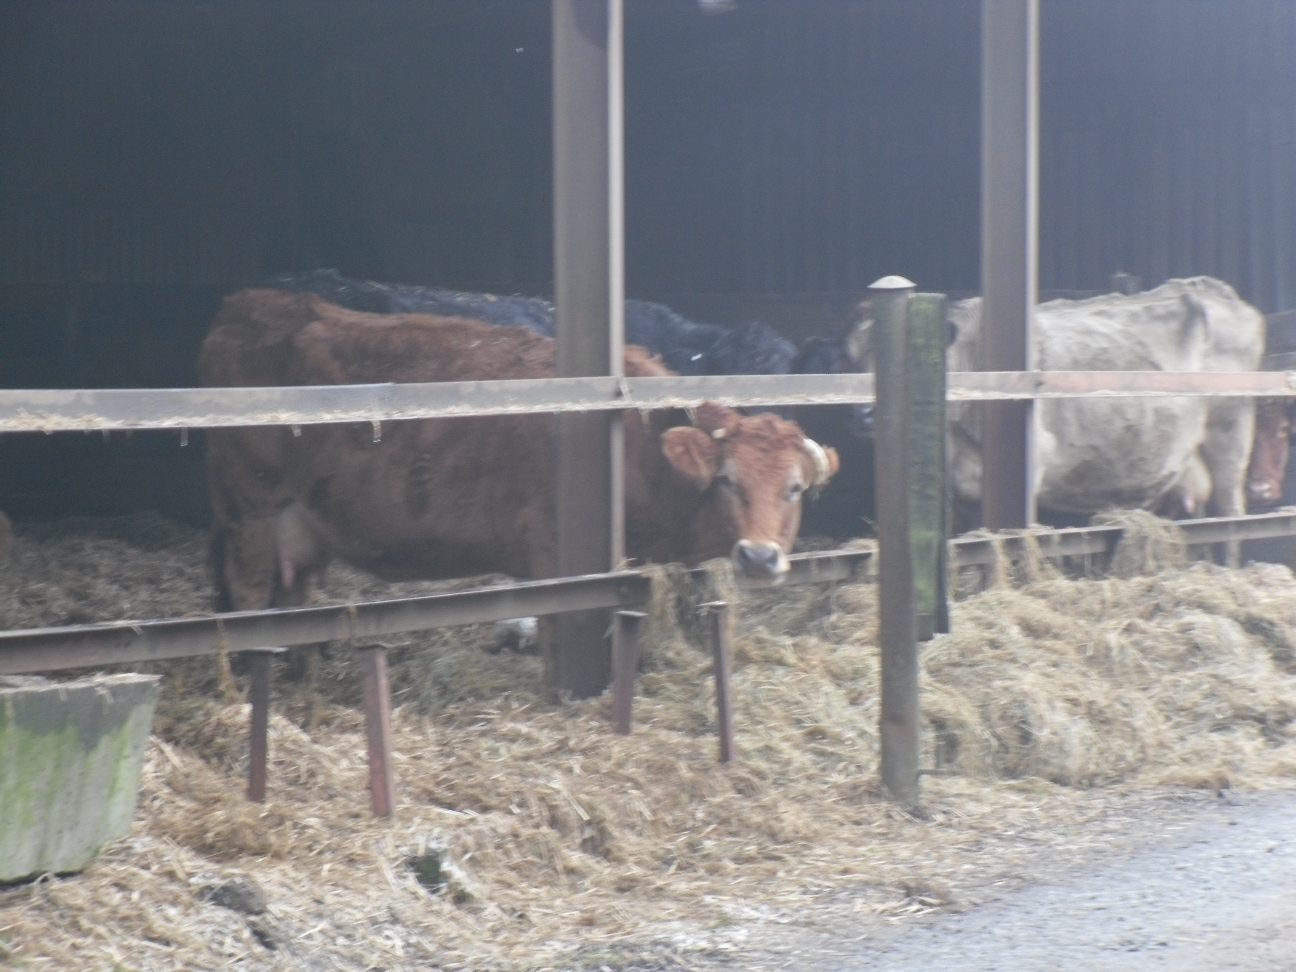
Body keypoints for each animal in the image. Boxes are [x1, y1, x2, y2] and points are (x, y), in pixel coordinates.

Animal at [200, 289, 839, 618]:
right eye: (728, 480)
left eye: (794, 488)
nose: (759, 557)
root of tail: (256, 304)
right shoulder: (553, 553)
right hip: (248, 512)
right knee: (248, 598)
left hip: (302, 527)